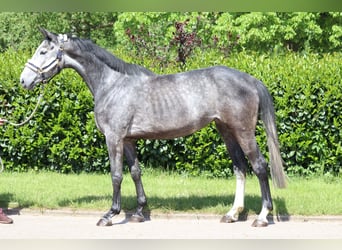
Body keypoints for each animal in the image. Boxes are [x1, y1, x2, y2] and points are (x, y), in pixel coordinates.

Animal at [19, 28, 286, 227]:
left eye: (43, 51)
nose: (24, 81)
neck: (113, 84)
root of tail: (251, 79)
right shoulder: (128, 140)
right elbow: (136, 172)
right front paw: (139, 212)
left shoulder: (114, 138)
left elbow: (116, 175)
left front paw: (110, 214)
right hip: (227, 131)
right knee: (240, 168)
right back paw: (232, 214)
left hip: (243, 132)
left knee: (259, 167)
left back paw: (262, 217)